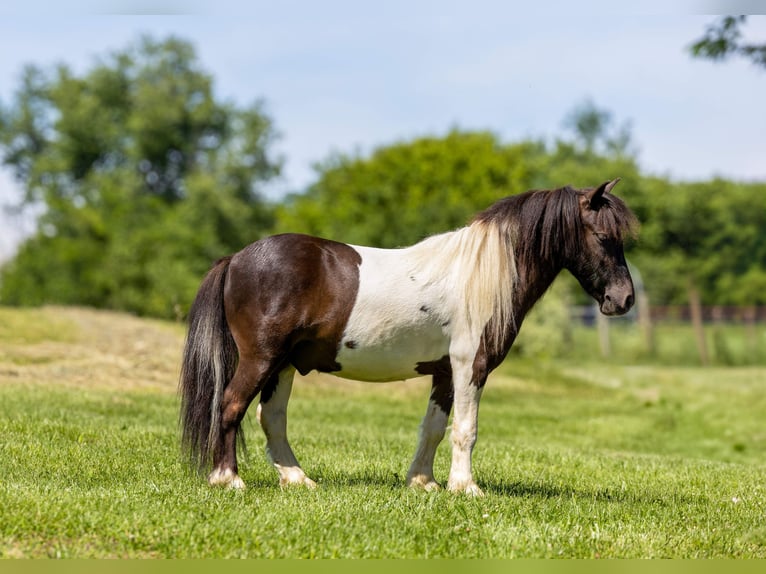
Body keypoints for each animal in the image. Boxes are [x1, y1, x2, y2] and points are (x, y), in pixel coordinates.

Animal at [180, 178, 637, 496]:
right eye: (602, 237)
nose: (624, 299)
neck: (481, 274)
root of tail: (236, 258)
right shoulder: (471, 366)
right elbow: (466, 429)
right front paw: (466, 487)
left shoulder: (445, 373)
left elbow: (433, 427)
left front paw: (423, 482)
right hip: (262, 358)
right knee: (231, 405)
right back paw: (228, 479)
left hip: (285, 365)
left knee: (271, 418)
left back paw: (297, 479)